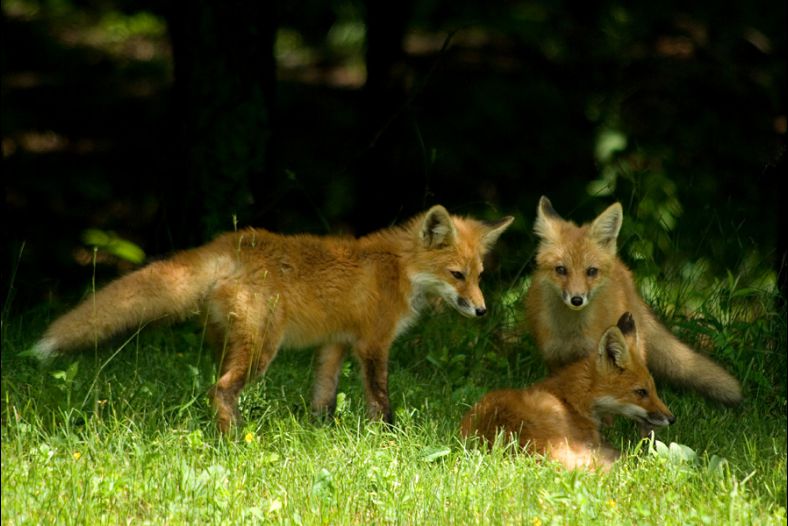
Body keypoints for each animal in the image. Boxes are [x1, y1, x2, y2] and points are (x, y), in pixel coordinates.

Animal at [30, 205, 514, 433]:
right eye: (457, 275)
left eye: (479, 275)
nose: (482, 309)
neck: (398, 269)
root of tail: (231, 242)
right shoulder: (373, 343)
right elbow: (380, 399)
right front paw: (390, 437)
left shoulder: (335, 343)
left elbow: (323, 396)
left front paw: (322, 433)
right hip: (262, 348)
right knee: (221, 389)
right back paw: (237, 441)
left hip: (230, 341)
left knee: (216, 385)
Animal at [523, 196, 742, 406]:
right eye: (561, 270)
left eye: (591, 271)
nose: (577, 300)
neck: (570, 331)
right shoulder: (553, 357)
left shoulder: (594, 356)